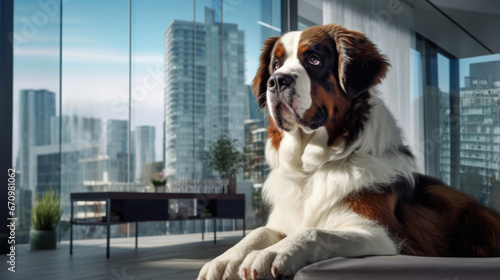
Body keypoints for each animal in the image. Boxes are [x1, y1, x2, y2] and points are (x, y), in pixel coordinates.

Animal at [198, 23, 500, 280]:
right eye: (275, 64)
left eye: (314, 60)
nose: (277, 81)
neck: (312, 169)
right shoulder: (281, 220)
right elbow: (258, 232)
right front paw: (225, 259)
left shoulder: (381, 235)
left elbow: (314, 232)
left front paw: (272, 254)